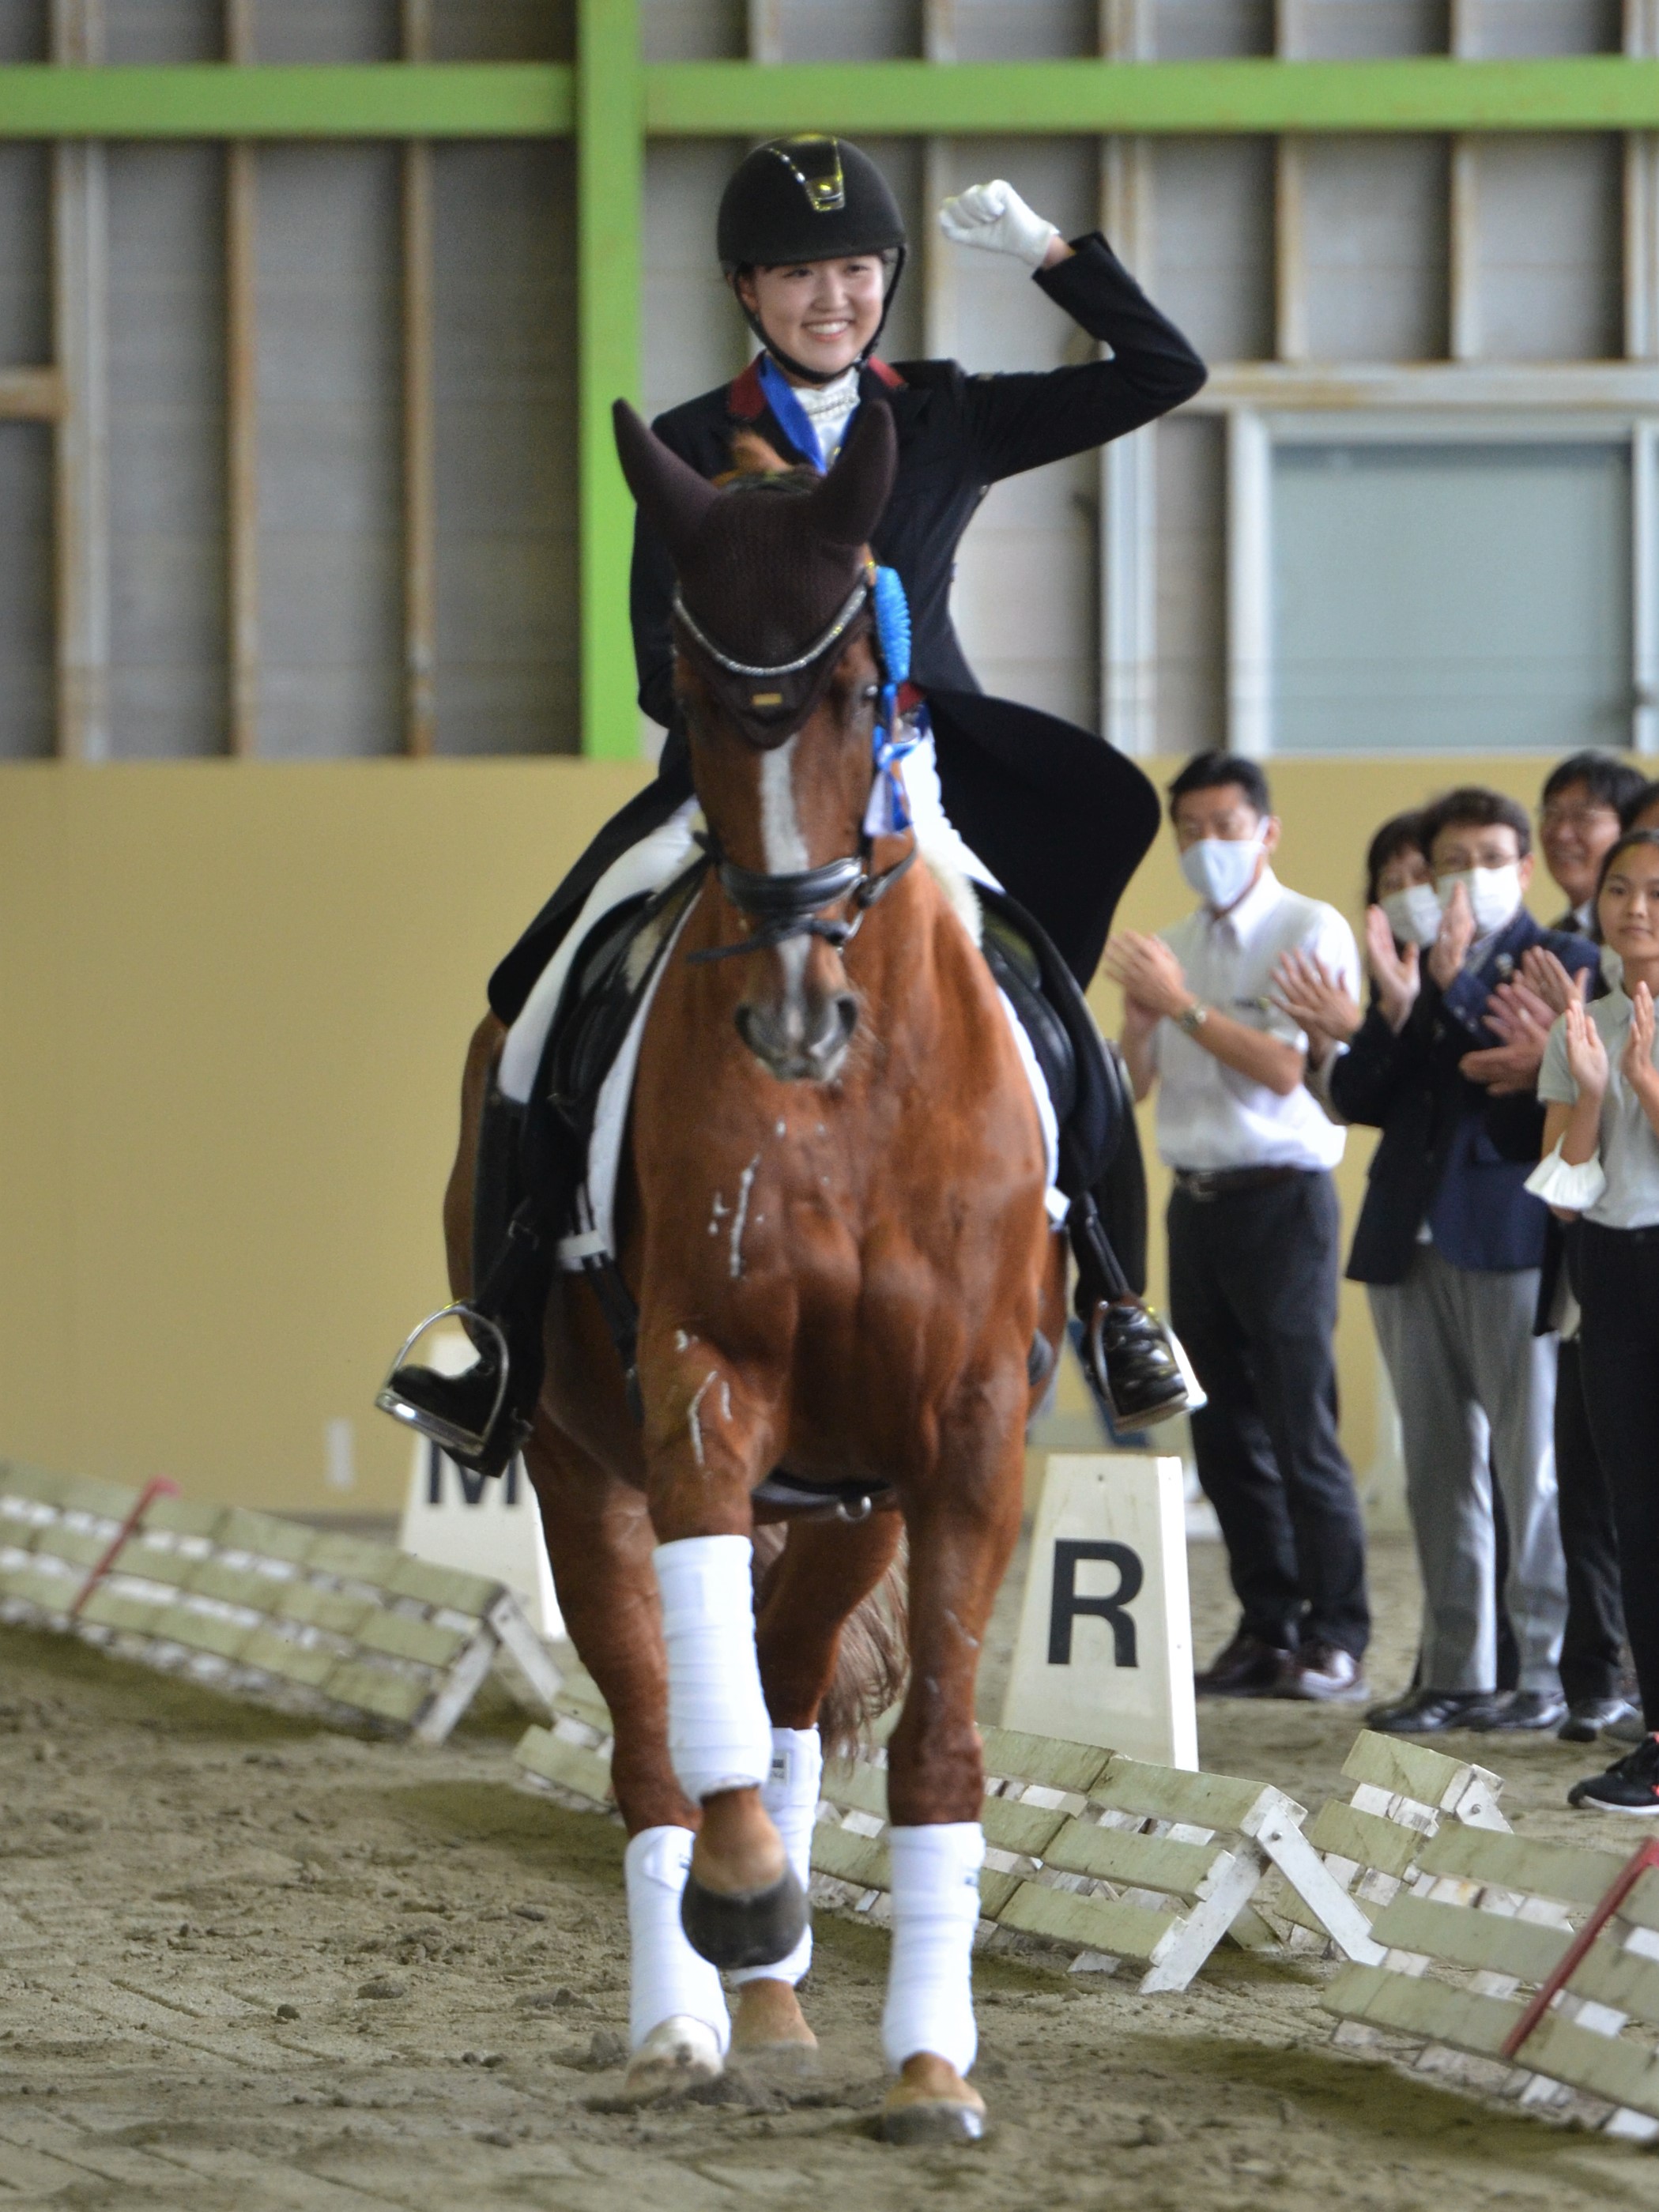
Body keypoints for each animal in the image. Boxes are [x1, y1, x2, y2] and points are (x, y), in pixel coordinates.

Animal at [444, 398, 1065, 2141]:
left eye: (861, 691)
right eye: (698, 690)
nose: (794, 1008)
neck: (848, 1105)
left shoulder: (963, 1436)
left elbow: (933, 1748)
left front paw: (928, 2065)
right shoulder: (699, 1385)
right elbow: (693, 1704)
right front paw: (733, 1906)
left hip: (853, 1501)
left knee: (786, 1692)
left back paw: (782, 2008)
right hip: (576, 1460)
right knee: (662, 1730)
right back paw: (687, 2011)